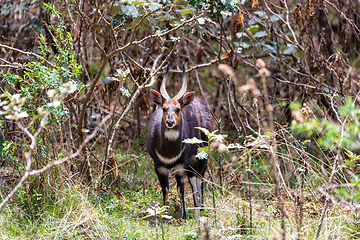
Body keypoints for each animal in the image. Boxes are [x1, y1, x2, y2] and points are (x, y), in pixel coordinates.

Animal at [146, 63, 214, 219]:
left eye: (178, 109)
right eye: (164, 108)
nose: (170, 122)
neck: (169, 153)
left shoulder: (180, 164)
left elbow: (181, 189)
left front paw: (184, 216)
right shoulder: (159, 165)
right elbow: (165, 188)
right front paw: (164, 213)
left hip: (203, 155)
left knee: (199, 178)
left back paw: (201, 207)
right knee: (193, 177)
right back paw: (196, 206)